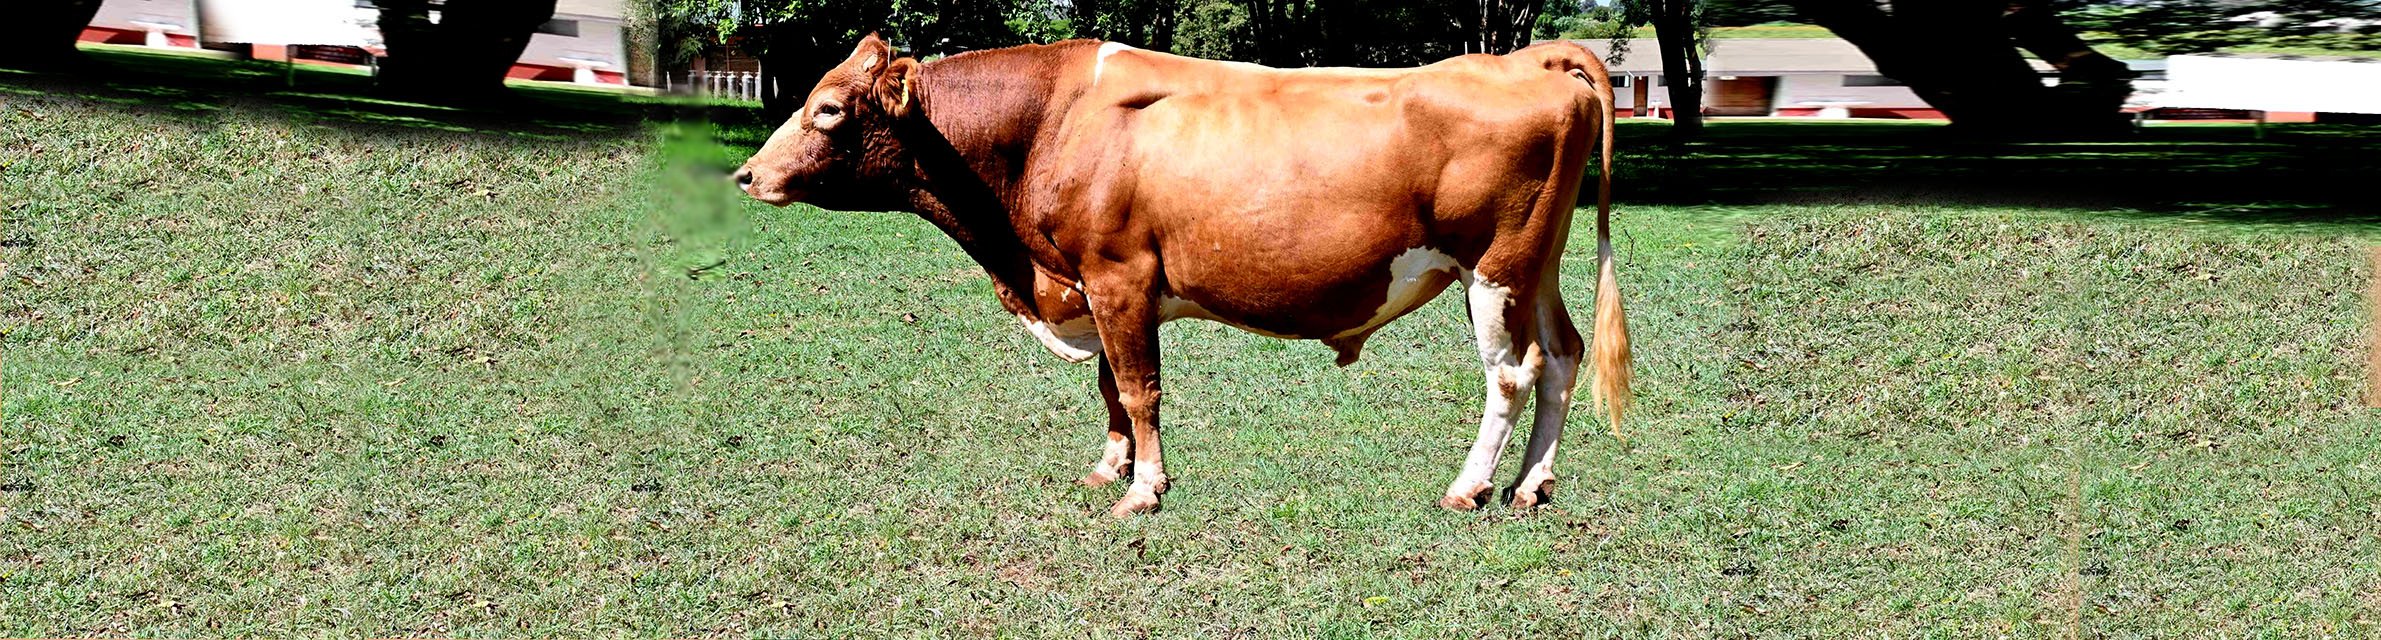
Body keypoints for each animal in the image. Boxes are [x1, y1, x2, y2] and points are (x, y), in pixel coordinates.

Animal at [734, 34, 1630, 517]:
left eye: (827, 110)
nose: (746, 176)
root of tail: (1525, 57)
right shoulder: (1090, 282)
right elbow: (1107, 387)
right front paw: (1111, 467)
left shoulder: (1117, 273)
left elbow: (1137, 388)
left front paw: (1143, 490)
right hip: (1537, 265)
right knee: (1561, 357)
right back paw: (1530, 485)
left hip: (1495, 267)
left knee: (1509, 375)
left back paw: (1468, 487)